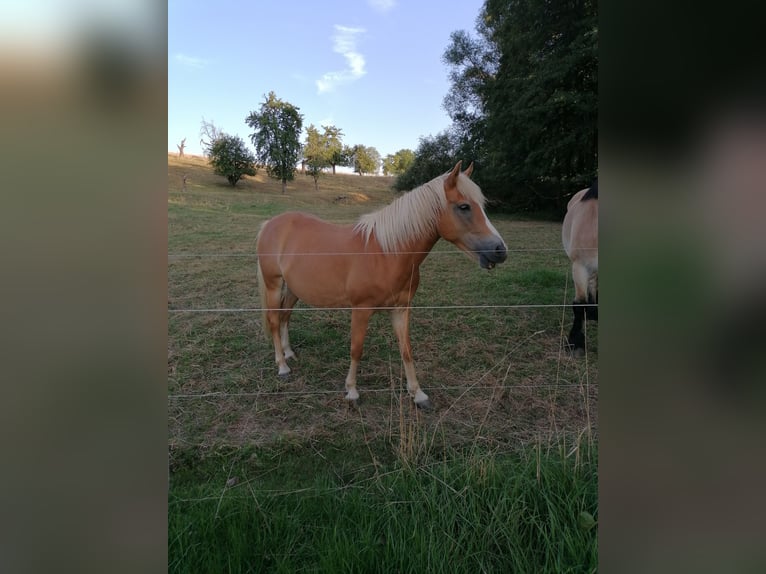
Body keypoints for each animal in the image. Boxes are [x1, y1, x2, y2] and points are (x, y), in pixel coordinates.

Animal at [258, 162, 510, 410]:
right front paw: (352, 391)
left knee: (285, 315)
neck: (387, 253)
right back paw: (282, 366)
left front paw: (418, 395)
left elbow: (406, 350)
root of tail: (271, 223)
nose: (500, 251)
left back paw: (289, 353)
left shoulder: (400, 309)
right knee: (274, 320)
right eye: (464, 207)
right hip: (273, 285)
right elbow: (356, 349)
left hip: (293, 288)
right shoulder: (361, 310)